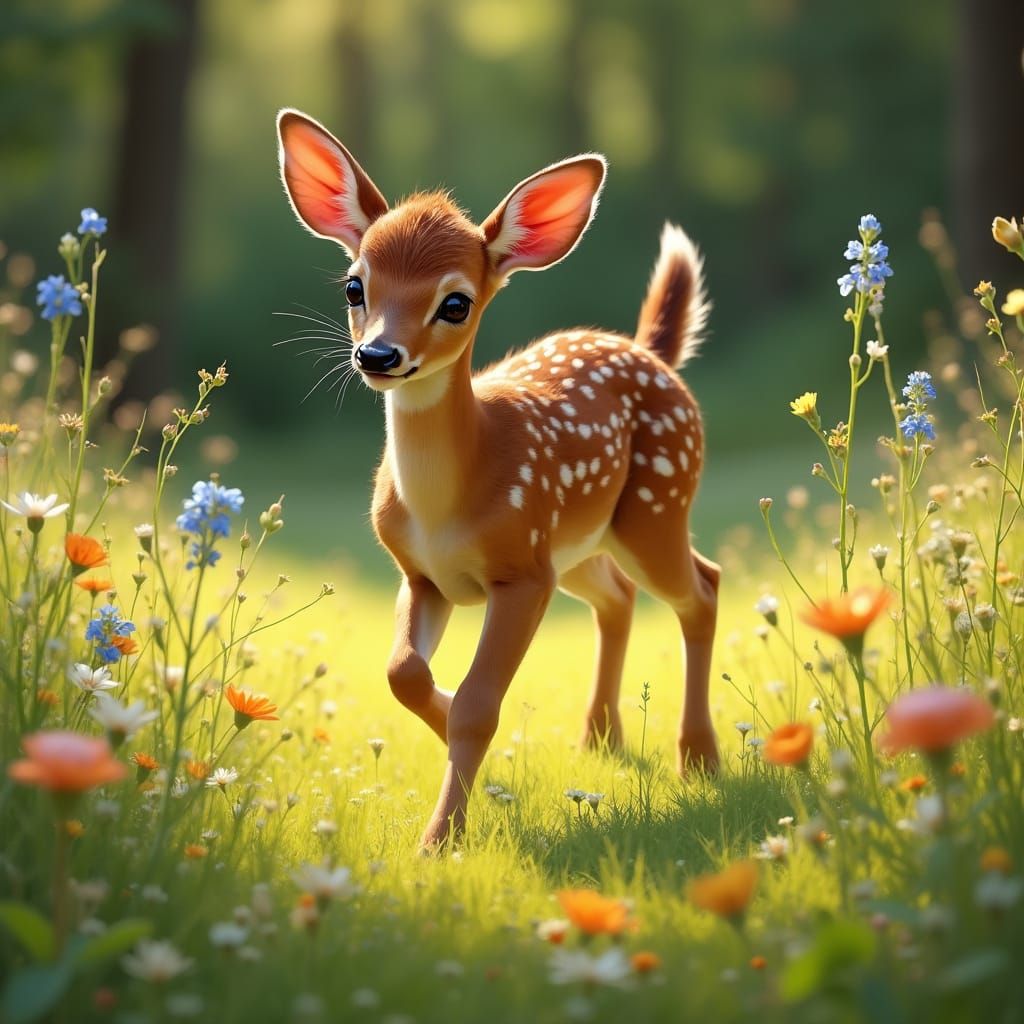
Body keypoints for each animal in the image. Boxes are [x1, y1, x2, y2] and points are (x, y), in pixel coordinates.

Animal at [276, 109, 721, 848]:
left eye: (455, 303)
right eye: (354, 285)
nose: (378, 354)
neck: (447, 503)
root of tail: (651, 353)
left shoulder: (520, 572)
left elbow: (480, 704)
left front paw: (440, 838)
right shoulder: (422, 575)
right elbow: (403, 675)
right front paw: (465, 755)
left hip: (655, 507)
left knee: (702, 589)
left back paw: (699, 759)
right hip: (577, 545)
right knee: (619, 597)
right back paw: (599, 741)